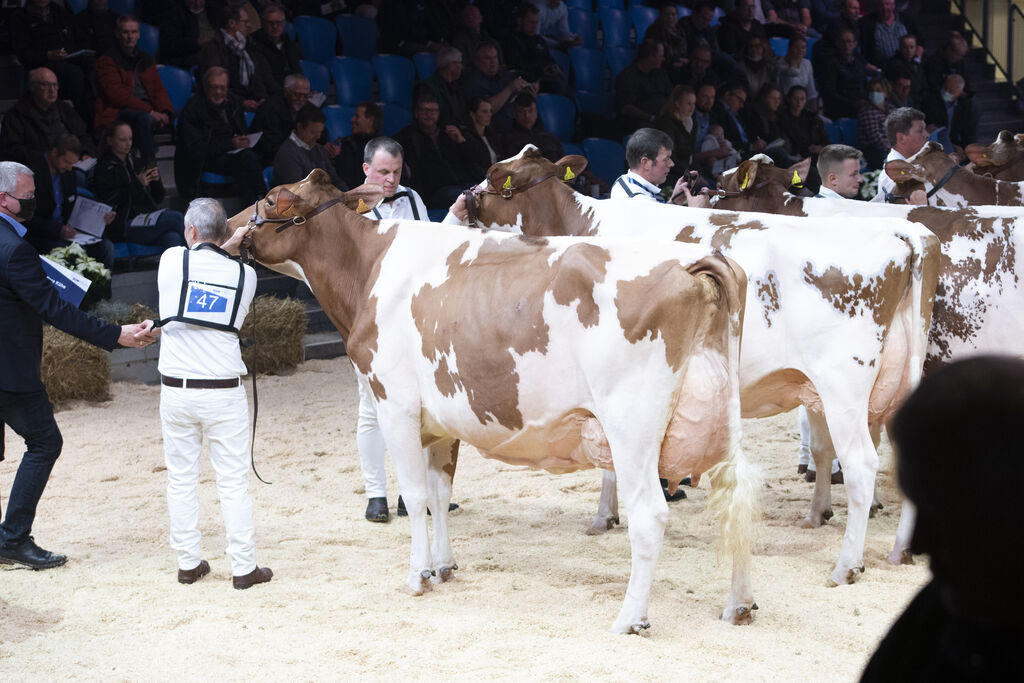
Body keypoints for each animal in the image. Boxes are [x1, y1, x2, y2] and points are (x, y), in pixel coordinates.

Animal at [227, 169, 758, 634]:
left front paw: (416, 576)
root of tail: (689, 261)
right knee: (736, 499)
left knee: (650, 516)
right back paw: (739, 604)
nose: (228, 226)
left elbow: (415, 496)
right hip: (722, 418)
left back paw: (630, 618)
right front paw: (443, 566)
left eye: (270, 200)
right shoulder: (439, 420)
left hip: (632, 428)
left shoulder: (394, 403)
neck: (368, 268)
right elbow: (440, 493)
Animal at [457, 147, 939, 588]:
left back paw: (847, 566)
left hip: (844, 387)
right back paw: (900, 550)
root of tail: (904, 234)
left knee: (861, 466)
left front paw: (603, 516)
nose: (462, 201)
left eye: (495, 176)